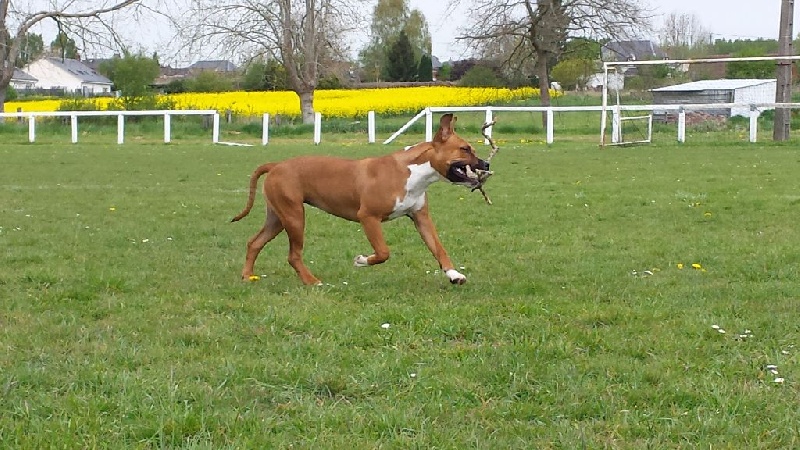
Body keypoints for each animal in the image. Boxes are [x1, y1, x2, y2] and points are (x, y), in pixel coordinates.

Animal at [231, 114, 488, 286]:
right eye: (465, 149)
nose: (486, 164)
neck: (413, 171)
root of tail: (276, 165)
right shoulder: (369, 218)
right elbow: (383, 253)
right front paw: (362, 260)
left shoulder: (421, 218)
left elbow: (439, 249)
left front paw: (454, 274)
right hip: (294, 218)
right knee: (293, 255)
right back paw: (312, 281)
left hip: (278, 218)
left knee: (254, 243)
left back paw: (247, 276)